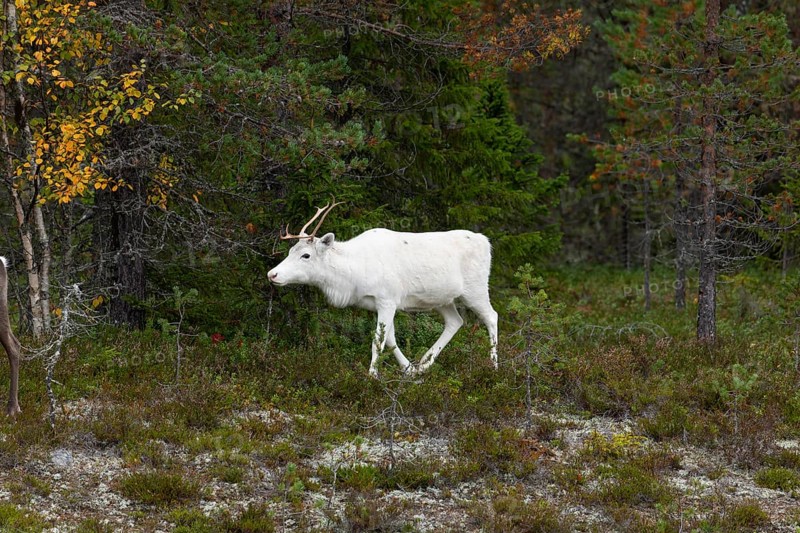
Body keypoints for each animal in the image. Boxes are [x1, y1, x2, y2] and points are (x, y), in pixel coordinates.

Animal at [268, 201, 498, 377]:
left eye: (306, 255)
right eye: (291, 250)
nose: (272, 274)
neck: (353, 275)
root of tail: (486, 242)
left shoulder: (388, 299)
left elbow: (377, 341)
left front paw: (372, 375)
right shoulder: (377, 304)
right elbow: (389, 339)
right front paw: (408, 369)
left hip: (475, 289)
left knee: (491, 316)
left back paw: (494, 366)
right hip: (442, 299)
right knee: (455, 321)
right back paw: (424, 363)